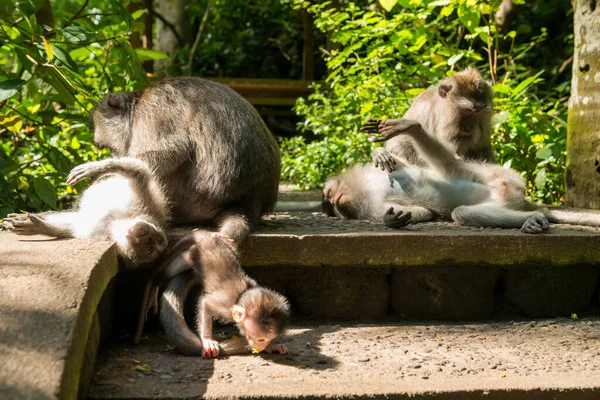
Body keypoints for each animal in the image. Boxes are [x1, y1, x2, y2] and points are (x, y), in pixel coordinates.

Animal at [2, 158, 169, 268]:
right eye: (153, 239)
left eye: (149, 249)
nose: (145, 233)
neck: (116, 222)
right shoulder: (146, 203)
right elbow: (138, 171)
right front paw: (98, 168)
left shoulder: (97, 233)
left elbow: (69, 228)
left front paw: (39, 228)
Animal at [154, 231, 288, 360]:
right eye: (261, 339)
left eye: (269, 339)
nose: (262, 346)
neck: (241, 296)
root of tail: (204, 238)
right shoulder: (226, 307)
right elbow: (206, 303)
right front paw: (207, 340)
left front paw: (273, 347)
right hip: (191, 254)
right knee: (169, 271)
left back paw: (216, 235)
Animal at [326, 118, 600, 231]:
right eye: (333, 205)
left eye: (329, 195)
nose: (332, 200)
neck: (364, 188)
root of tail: (520, 198)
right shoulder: (368, 206)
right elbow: (421, 212)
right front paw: (391, 220)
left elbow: (401, 165)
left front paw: (379, 153)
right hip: (505, 193)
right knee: (463, 212)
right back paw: (533, 218)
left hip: (497, 173)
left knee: (453, 167)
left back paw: (410, 127)